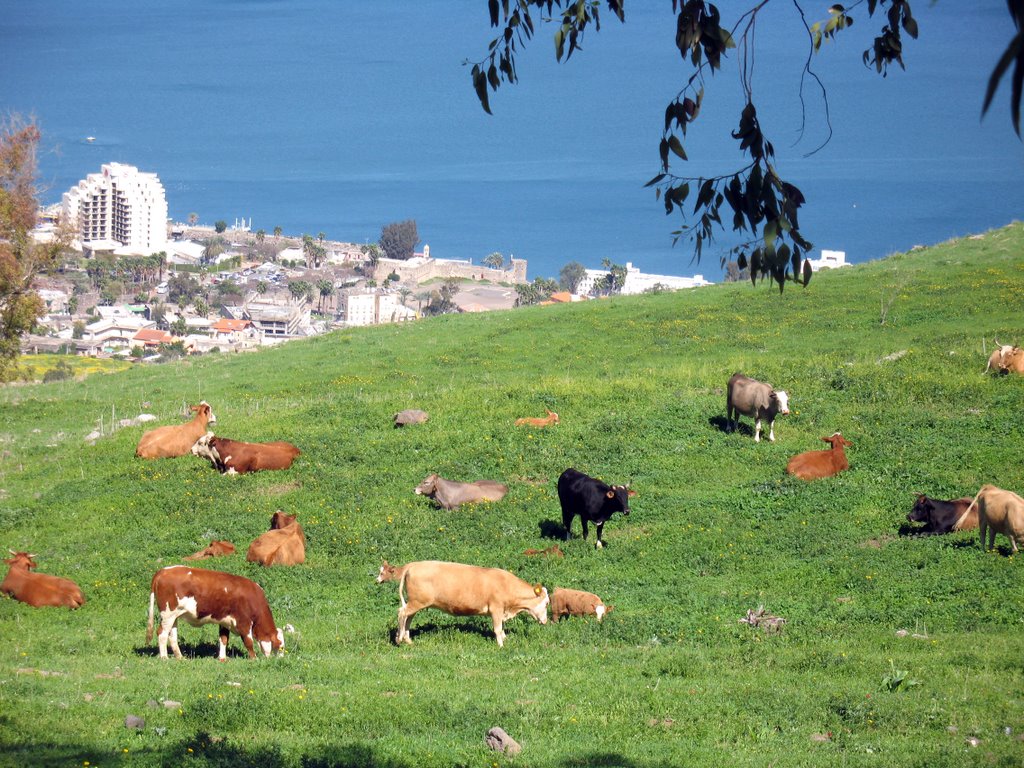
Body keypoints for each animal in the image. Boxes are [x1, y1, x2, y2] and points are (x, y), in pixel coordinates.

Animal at [145, 565, 288, 663]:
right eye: (281, 647)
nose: (280, 660)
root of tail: (163, 570)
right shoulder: (244, 622)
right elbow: (249, 642)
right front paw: (254, 658)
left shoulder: (225, 621)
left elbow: (223, 639)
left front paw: (222, 658)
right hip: (168, 614)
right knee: (162, 634)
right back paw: (164, 657)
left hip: (174, 616)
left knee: (172, 636)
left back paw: (180, 657)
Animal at [393, 561, 552, 651]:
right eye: (546, 603)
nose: (545, 621)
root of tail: (413, 565)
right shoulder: (496, 608)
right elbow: (497, 628)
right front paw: (501, 646)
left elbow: (501, 628)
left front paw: (505, 639)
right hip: (416, 602)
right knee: (402, 613)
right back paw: (399, 639)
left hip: (416, 602)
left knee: (408, 618)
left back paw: (408, 640)